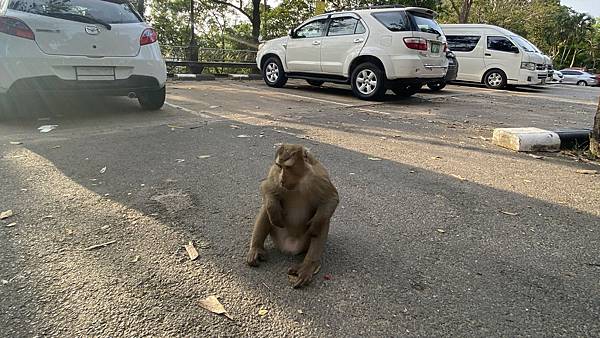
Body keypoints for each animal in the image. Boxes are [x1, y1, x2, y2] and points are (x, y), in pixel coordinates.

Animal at [244, 143, 338, 288]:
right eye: (280, 166)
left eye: (288, 167)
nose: (282, 178)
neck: (300, 181)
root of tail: (289, 248)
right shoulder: (274, 172)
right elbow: (267, 186)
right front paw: (274, 209)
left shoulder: (320, 176)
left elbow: (331, 199)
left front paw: (315, 224)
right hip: (277, 236)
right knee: (266, 208)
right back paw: (256, 248)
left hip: (304, 243)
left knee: (324, 218)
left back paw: (308, 266)